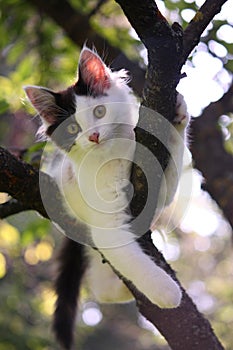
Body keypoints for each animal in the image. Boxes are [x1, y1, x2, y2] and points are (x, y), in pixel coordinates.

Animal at [24, 47, 190, 350]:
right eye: (72, 128)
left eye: (99, 111)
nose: (93, 136)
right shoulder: (106, 227)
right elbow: (133, 261)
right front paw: (167, 293)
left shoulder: (161, 190)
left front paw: (178, 113)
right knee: (104, 290)